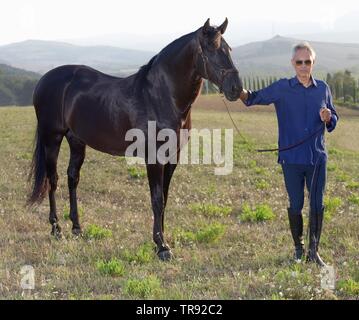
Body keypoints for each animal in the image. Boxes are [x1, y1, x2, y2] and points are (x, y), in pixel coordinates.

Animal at [27, 18, 242, 260]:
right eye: (212, 49)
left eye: (229, 49)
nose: (236, 88)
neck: (160, 96)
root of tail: (43, 81)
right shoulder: (154, 158)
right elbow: (156, 199)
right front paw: (162, 246)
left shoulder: (172, 157)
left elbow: (164, 197)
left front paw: (161, 238)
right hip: (52, 138)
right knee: (52, 180)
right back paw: (56, 229)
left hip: (77, 140)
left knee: (72, 178)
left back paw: (77, 228)